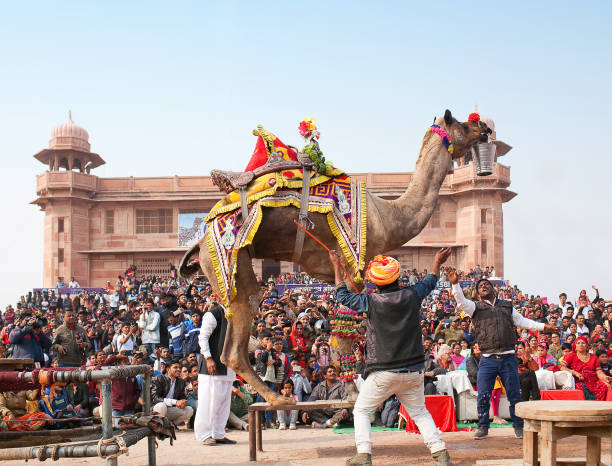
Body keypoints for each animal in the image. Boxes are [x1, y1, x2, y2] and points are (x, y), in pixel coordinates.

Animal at [179, 109, 490, 404]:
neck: (387, 217)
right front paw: (352, 394)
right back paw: (278, 399)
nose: (484, 127)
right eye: (463, 125)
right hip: (231, 264)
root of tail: (200, 242)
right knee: (235, 339)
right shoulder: (353, 267)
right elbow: (343, 336)